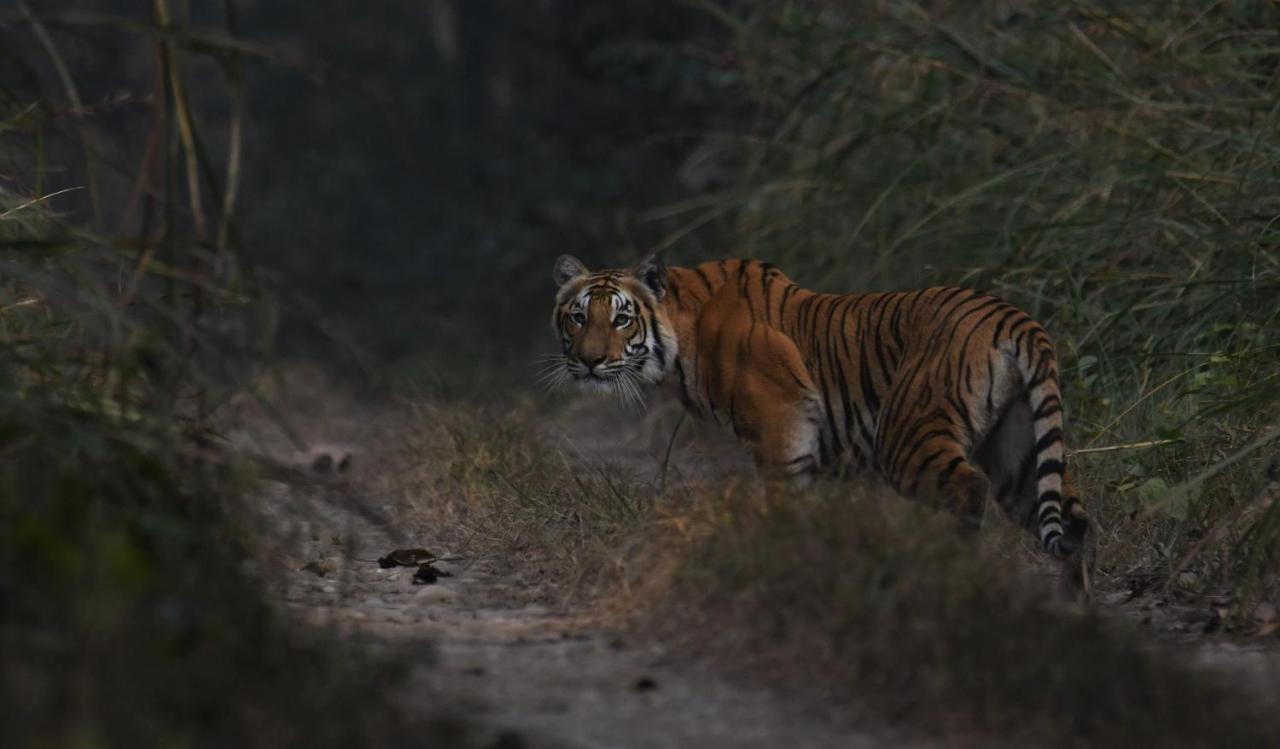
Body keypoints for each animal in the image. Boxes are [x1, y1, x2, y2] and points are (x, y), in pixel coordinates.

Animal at [545, 253, 1095, 594]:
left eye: (621, 319)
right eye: (578, 317)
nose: (589, 362)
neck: (684, 333)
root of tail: (1012, 317)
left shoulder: (781, 427)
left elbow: (785, 503)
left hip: (907, 434)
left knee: (967, 488)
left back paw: (954, 573)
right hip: (1018, 451)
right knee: (1071, 516)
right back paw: (1075, 612)